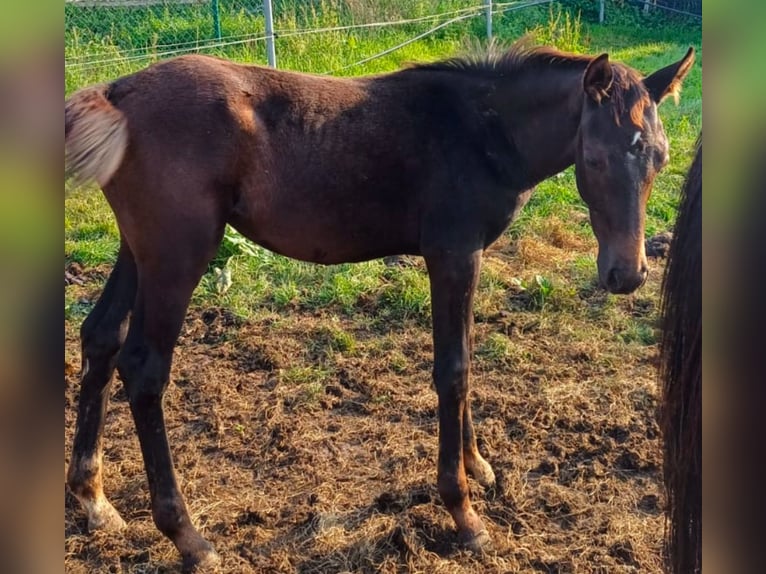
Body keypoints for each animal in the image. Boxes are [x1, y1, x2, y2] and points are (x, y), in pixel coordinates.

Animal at [67, 41, 696, 572]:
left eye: (661, 160)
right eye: (595, 158)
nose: (627, 274)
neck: (481, 130)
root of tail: (118, 91)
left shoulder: (468, 257)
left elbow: (467, 359)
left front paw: (479, 466)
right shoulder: (452, 253)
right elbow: (452, 371)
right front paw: (465, 515)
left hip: (139, 249)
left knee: (101, 337)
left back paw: (93, 501)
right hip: (179, 253)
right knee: (144, 369)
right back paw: (189, 537)